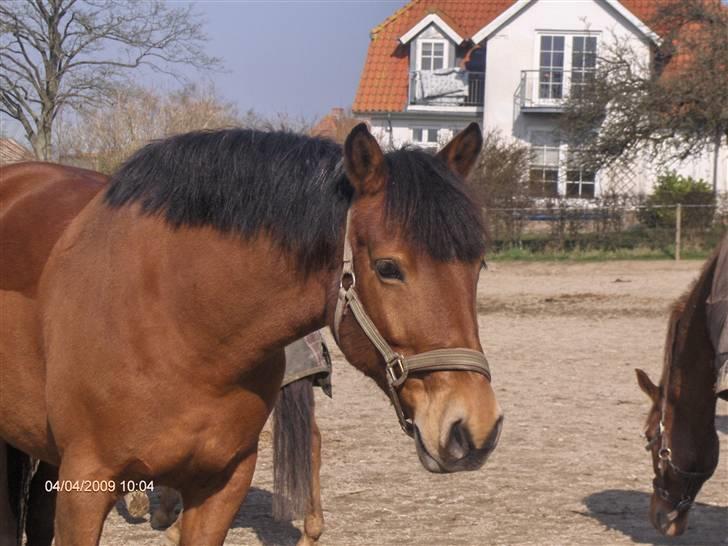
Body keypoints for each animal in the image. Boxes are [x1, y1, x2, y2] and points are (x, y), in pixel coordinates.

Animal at [0, 124, 500, 544]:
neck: (180, 321)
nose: (474, 428)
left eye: (478, 264)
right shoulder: (85, 487)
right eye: (388, 267)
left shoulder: (222, 486)